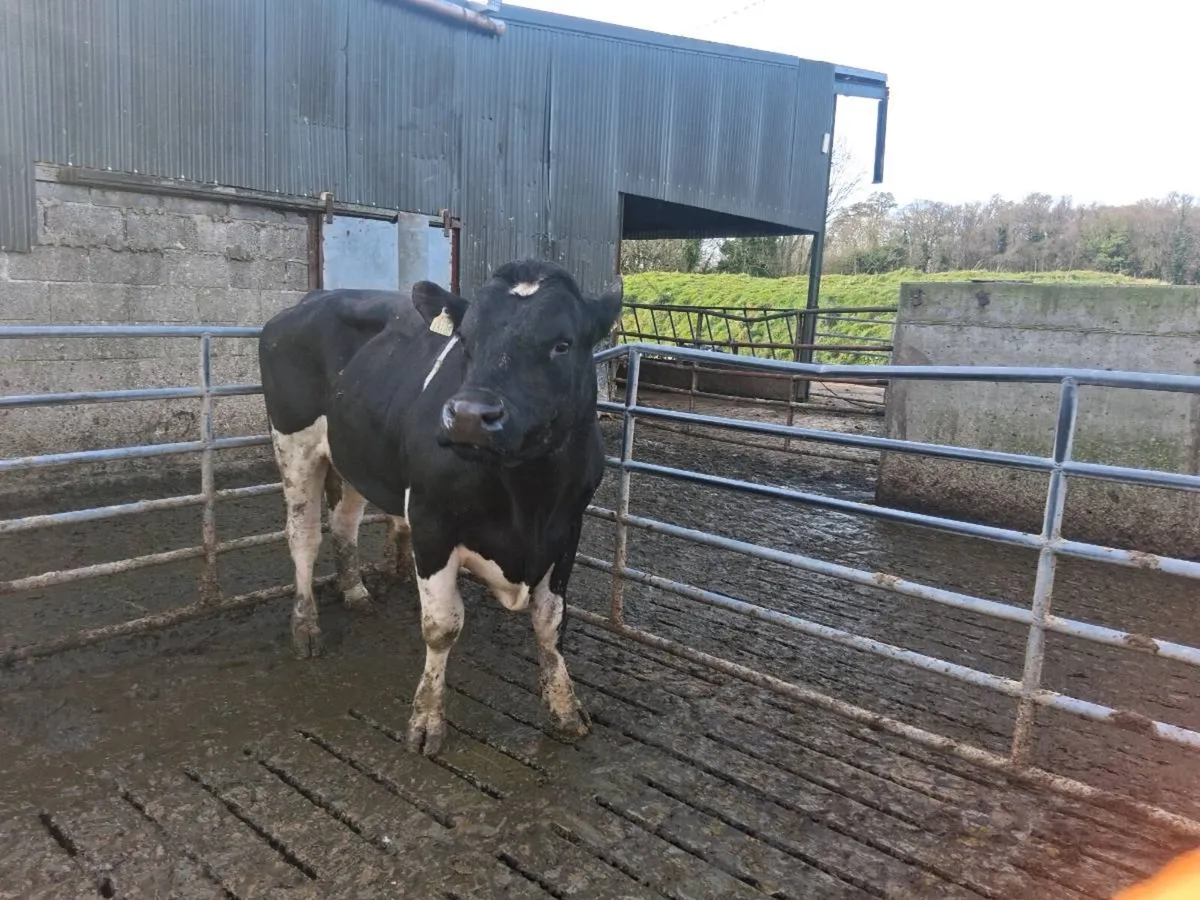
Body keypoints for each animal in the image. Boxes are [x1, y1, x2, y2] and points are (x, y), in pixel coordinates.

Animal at [257, 259, 622, 756]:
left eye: (562, 344)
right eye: (465, 340)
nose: (469, 416)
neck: (526, 497)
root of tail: (313, 298)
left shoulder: (567, 528)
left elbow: (550, 622)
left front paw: (565, 708)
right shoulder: (431, 523)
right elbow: (442, 626)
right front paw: (427, 719)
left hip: (355, 453)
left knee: (344, 522)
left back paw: (354, 591)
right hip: (292, 441)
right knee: (303, 536)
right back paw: (306, 625)